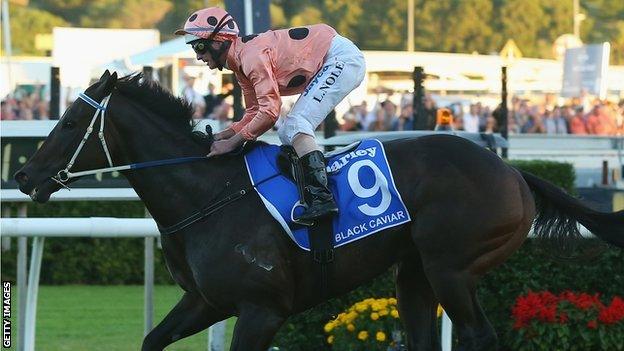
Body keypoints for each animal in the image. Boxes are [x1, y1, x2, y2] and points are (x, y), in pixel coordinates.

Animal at [14, 70, 624, 350]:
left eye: (71, 120)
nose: (23, 176)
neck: (206, 197)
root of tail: (514, 171)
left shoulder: (262, 310)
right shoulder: (207, 302)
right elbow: (151, 339)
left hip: (453, 266)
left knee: (478, 336)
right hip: (415, 273)